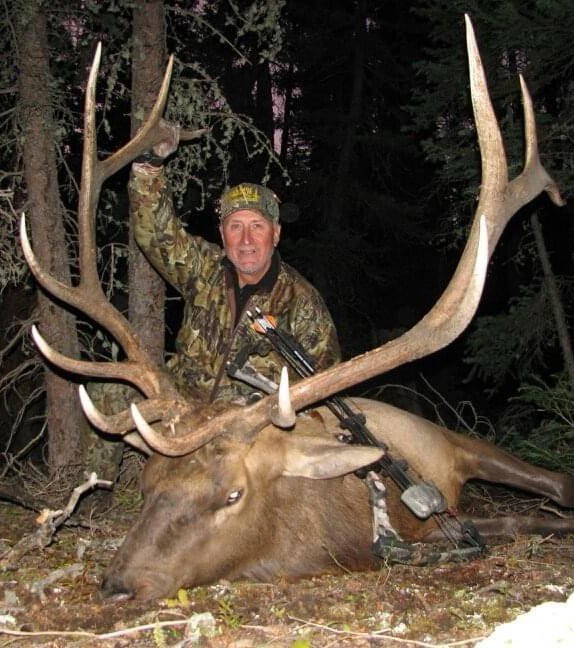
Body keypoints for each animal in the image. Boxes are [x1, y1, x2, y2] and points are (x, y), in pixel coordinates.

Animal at [21, 15, 574, 601]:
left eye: (233, 494)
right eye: (149, 484)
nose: (119, 585)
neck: (343, 531)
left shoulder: (441, 460)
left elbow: (530, 503)